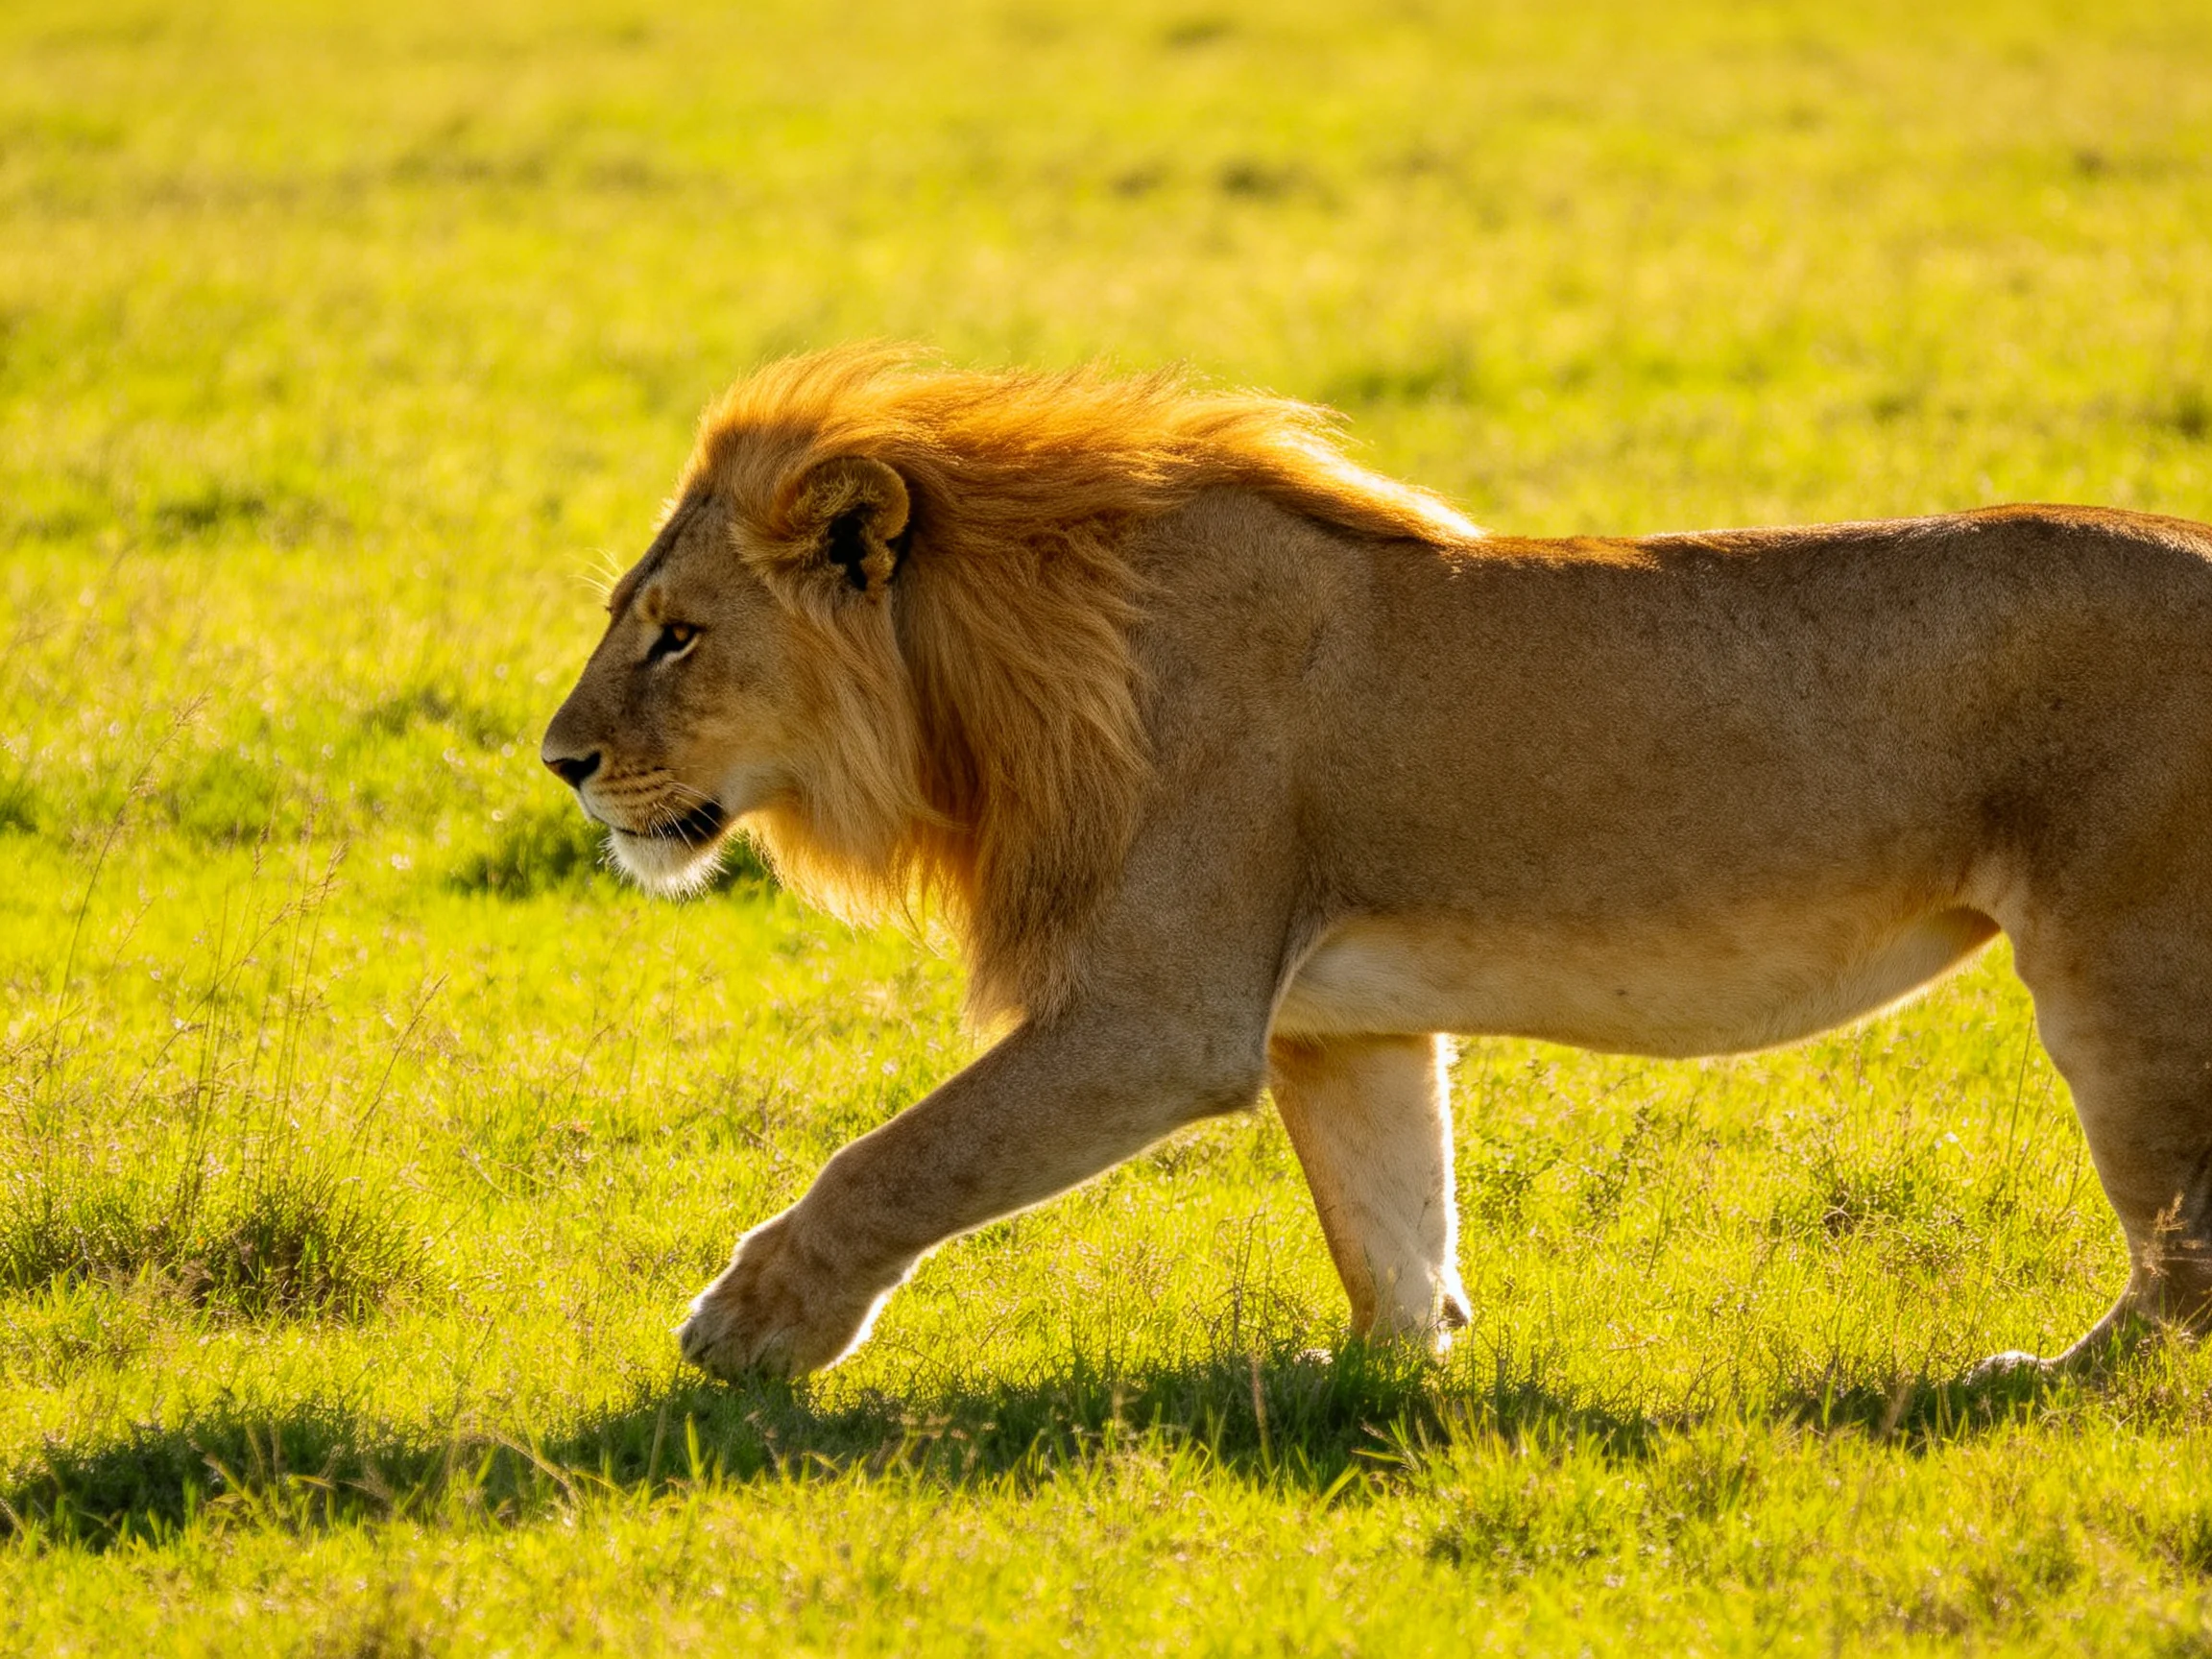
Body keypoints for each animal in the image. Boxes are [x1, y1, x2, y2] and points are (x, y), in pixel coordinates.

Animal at [542, 345, 2212, 1381]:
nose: (558, 761)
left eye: (676, 635)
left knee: (2181, 1269)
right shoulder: (1337, 1028)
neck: (1004, 678)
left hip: (2127, 971)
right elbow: (1393, 1226)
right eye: (633, 615)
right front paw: (1370, 1377)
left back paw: (2037, 1380)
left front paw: (747, 1327)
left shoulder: (1162, 1020)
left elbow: (903, 1155)